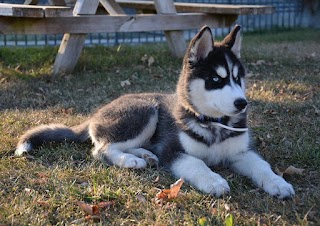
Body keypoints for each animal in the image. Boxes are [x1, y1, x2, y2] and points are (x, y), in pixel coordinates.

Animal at [15, 24, 296, 198]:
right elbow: (196, 163)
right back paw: (132, 160)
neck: (213, 124)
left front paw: (279, 183)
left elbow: (262, 166)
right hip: (145, 110)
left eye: (238, 78)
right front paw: (213, 180)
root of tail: (96, 114)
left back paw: (145, 155)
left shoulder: (241, 152)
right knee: (101, 149)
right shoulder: (174, 151)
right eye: (216, 80)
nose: (242, 103)